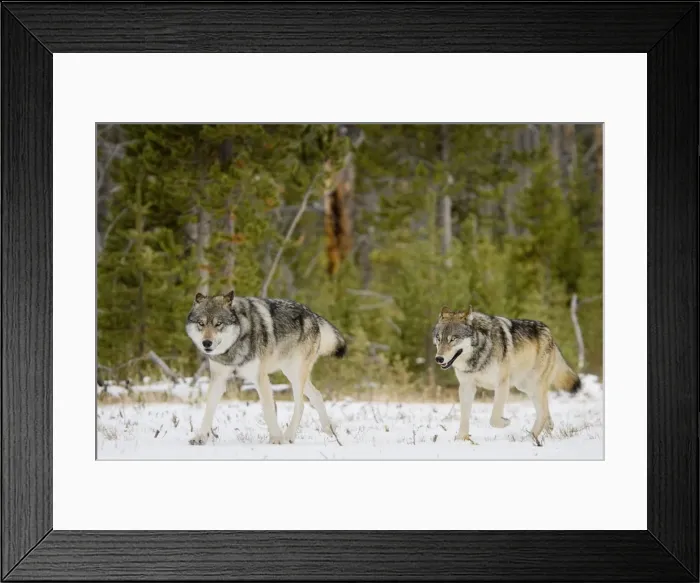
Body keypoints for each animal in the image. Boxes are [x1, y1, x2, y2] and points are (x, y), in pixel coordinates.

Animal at [185, 290, 346, 445]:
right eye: (201, 323)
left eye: (218, 324)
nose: (206, 343)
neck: (236, 344)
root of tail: (312, 314)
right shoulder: (218, 379)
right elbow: (208, 409)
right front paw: (200, 437)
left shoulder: (260, 378)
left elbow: (269, 410)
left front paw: (276, 438)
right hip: (292, 374)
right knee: (317, 396)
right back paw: (329, 431)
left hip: (295, 375)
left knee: (300, 405)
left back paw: (289, 436)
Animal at [433, 305, 581, 445]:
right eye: (439, 339)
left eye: (453, 339)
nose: (438, 358)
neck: (480, 353)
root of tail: (550, 335)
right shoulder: (466, 386)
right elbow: (464, 416)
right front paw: (461, 440)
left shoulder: (502, 384)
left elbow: (493, 419)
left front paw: (506, 422)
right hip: (526, 388)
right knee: (545, 411)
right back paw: (546, 429)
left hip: (534, 386)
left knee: (543, 413)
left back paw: (529, 439)